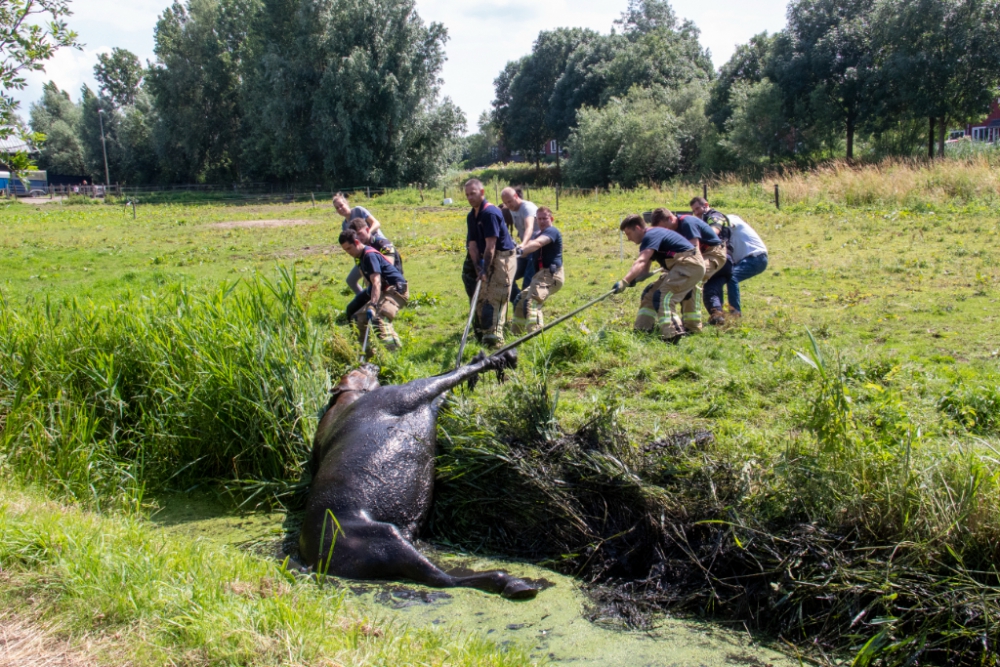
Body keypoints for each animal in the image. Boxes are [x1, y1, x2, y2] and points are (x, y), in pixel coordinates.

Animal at [294, 350, 536, 600]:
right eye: (354, 371)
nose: (368, 363)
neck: (348, 400)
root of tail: (313, 562)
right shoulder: (406, 393)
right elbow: (449, 376)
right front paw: (495, 358)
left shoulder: (430, 403)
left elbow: (447, 385)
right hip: (383, 537)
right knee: (441, 578)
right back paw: (513, 583)